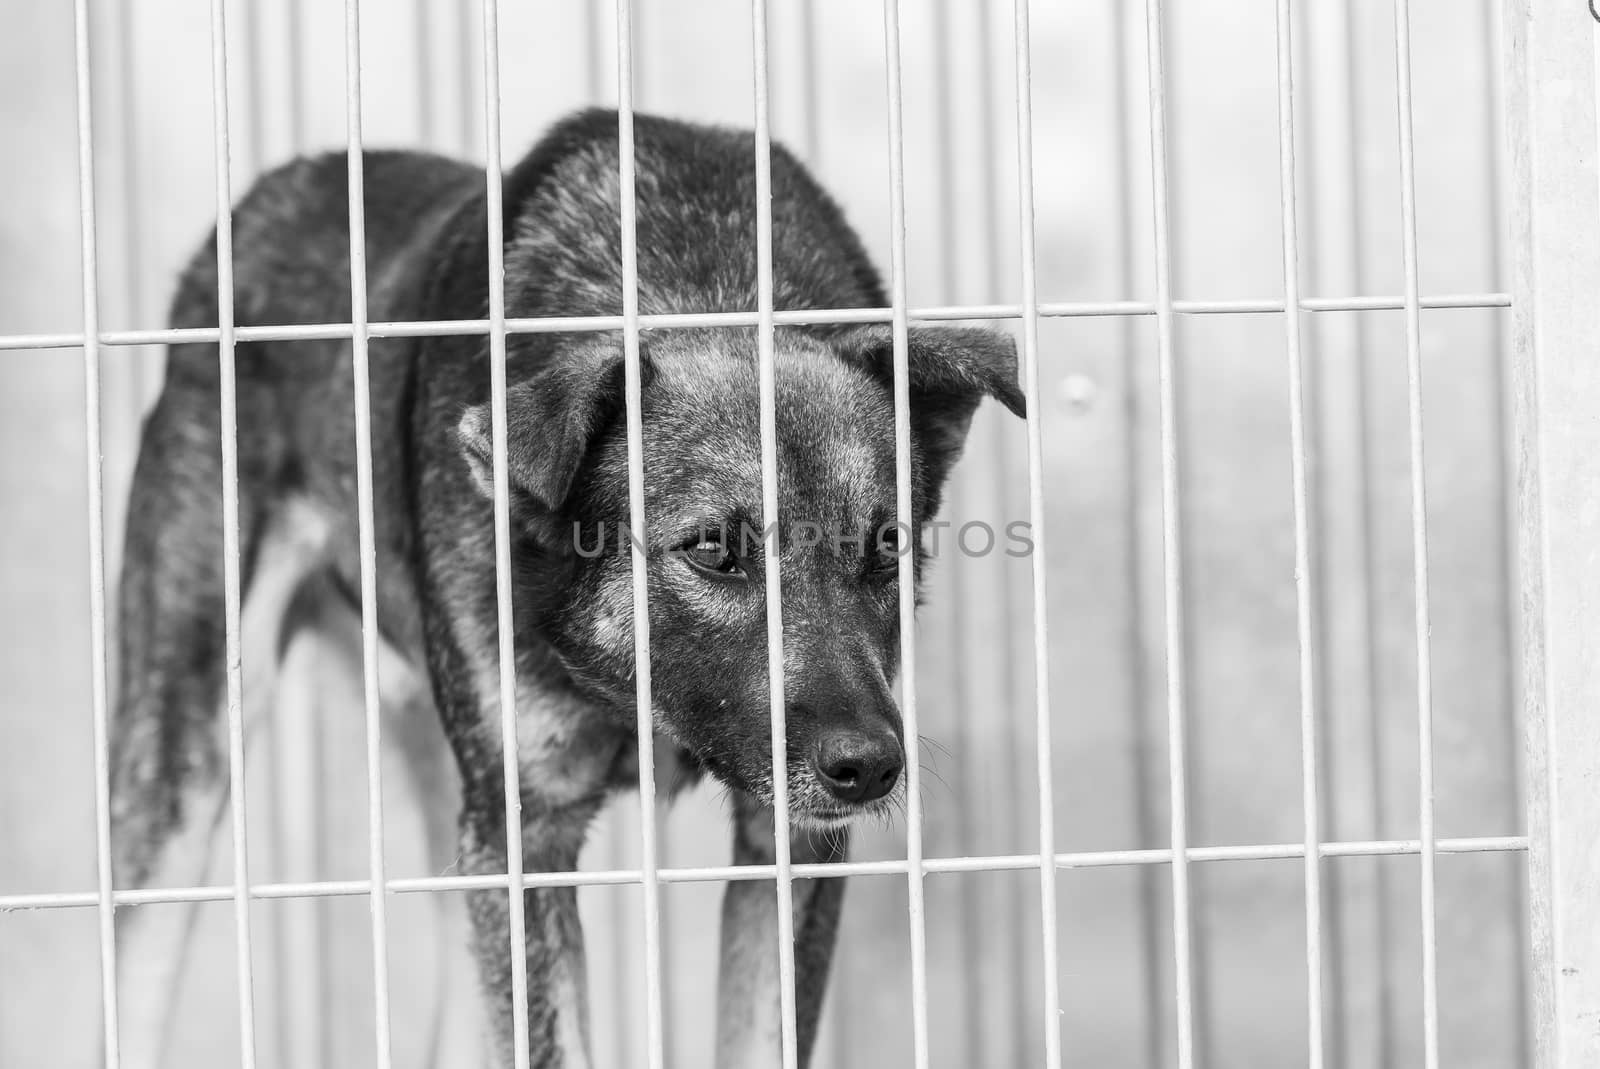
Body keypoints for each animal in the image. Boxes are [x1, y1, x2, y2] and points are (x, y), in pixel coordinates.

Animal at [106, 110, 1017, 1069]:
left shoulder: (787, 842)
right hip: (185, 769)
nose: (870, 767)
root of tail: (270, 196)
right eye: (712, 550)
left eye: (887, 546)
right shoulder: (524, 836)